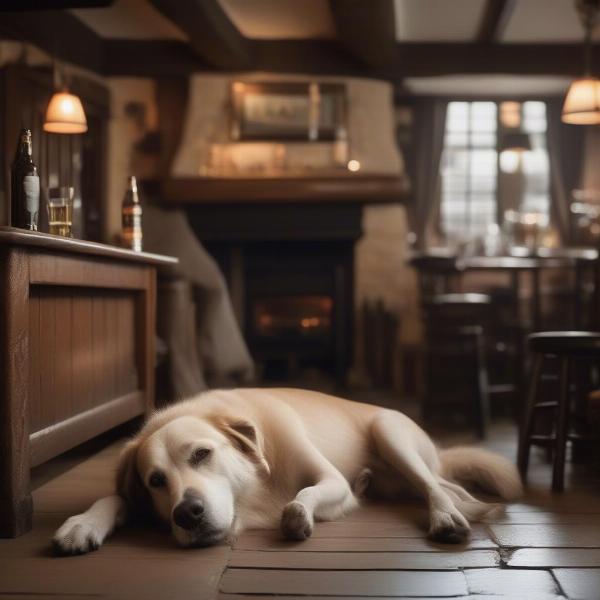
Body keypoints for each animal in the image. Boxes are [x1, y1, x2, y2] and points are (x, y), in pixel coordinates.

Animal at [51, 390, 520, 552]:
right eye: (155, 482)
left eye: (202, 454)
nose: (187, 514)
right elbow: (112, 496)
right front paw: (82, 524)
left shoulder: (329, 480)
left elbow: (303, 496)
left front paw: (296, 515)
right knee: (443, 486)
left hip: (391, 431)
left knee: (435, 487)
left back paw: (447, 516)